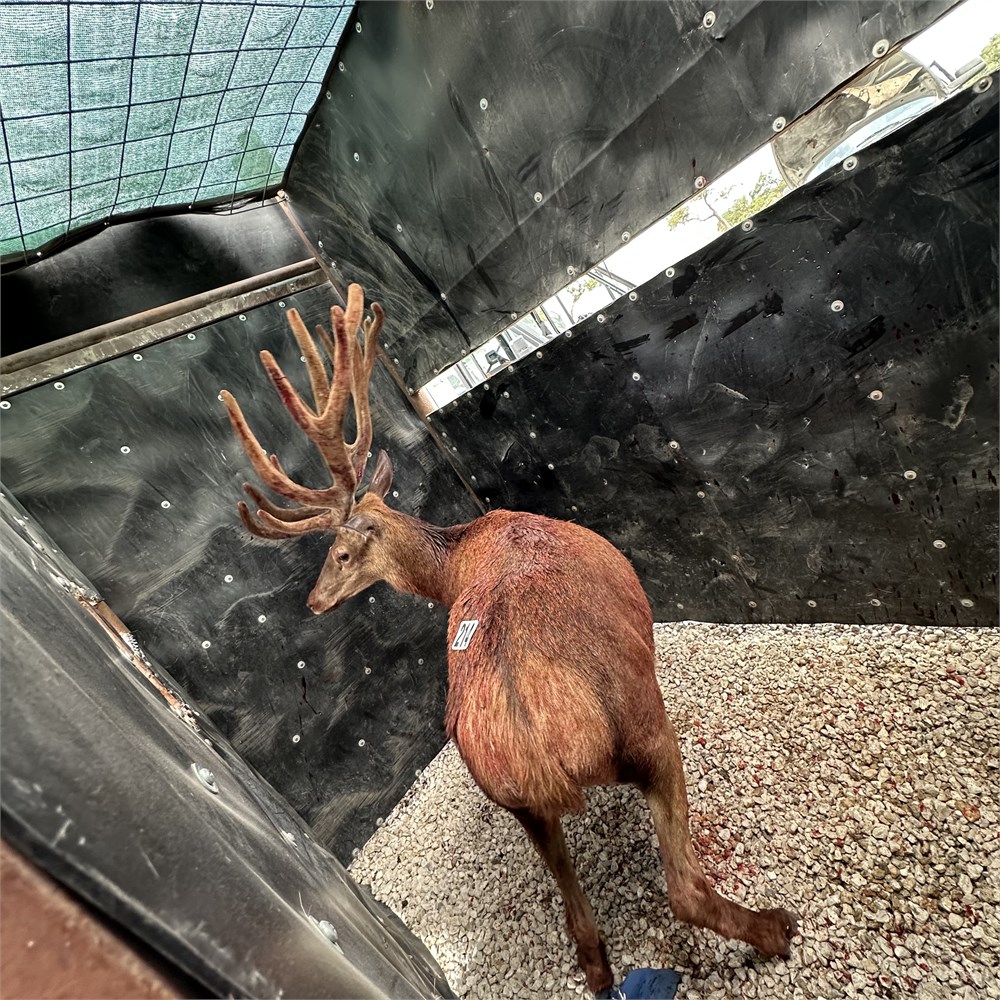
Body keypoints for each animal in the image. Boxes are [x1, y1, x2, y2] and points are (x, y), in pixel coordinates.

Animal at [219, 284, 797, 996]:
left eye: (343, 554)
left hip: (515, 797)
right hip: (643, 727)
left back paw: (604, 968)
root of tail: (538, 746)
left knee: (583, 927)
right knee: (683, 887)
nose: (313, 600)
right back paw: (776, 928)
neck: (457, 561)